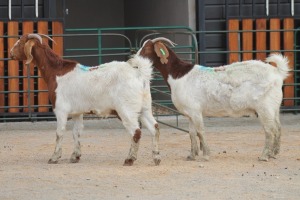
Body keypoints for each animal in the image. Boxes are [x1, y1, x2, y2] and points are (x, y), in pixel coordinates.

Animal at [10, 34, 162, 166]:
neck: (56, 71)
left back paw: (129, 159)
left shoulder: (60, 110)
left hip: (126, 110)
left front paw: (54, 157)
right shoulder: (77, 112)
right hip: (144, 108)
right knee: (154, 127)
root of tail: (139, 73)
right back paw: (156, 158)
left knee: (136, 132)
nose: (11, 53)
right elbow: (76, 132)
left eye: (21, 41)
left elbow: (59, 133)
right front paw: (75, 156)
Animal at [137, 37, 290, 162]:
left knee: (270, 130)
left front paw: (206, 155)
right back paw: (273, 153)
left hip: (264, 108)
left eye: (147, 49)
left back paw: (264, 156)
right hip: (274, 108)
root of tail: (277, 73)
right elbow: (192, 133)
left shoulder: (196, 111)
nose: (135, 60)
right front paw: (192, 155)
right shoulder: (190, 113)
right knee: (278, 127)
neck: (178, 75)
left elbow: (200, 131)